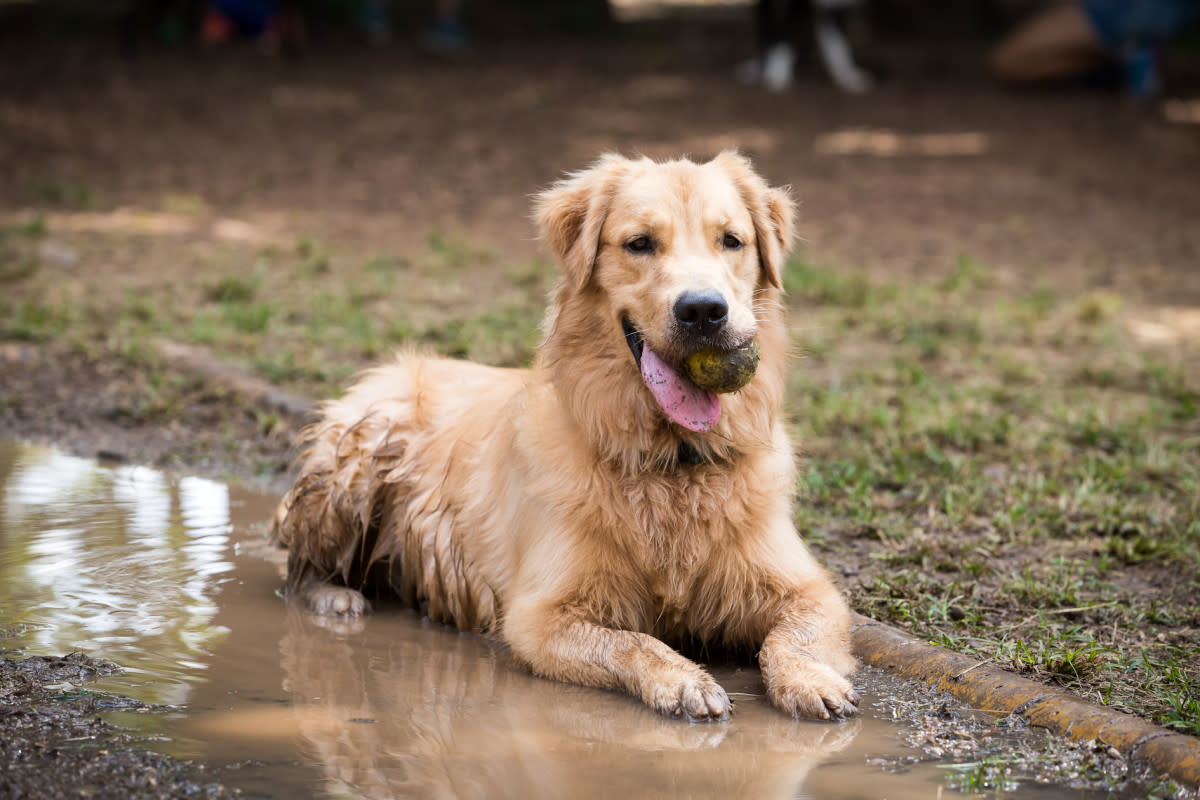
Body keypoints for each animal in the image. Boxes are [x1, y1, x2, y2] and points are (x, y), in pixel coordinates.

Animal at [272, 153, 859, 724]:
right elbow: (633, 642)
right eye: (640, 243)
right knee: (296, 566)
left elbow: (794, 637)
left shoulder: (809, 590)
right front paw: (683, 680)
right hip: (358, 459)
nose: (702, 311)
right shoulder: (539, 615)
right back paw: (335, 598)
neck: (669, 460)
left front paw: (811, 682)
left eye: (732, 240)